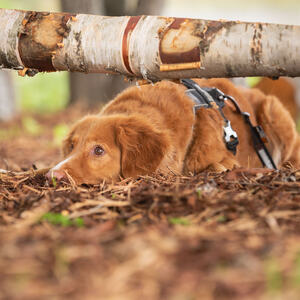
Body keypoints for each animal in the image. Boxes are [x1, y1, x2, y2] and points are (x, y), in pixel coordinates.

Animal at [47, 78, 300, 184]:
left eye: (98, 150)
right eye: (72, 146)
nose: (53, 176)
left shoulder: (227, 158)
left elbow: (217, 165)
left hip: (273, 110)